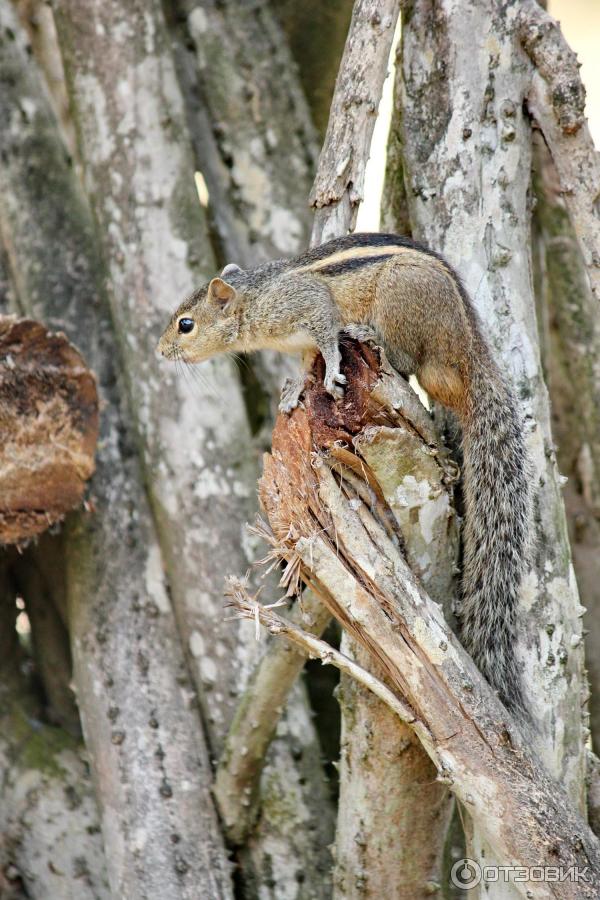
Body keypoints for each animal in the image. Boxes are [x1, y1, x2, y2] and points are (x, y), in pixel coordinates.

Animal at [158, 232, 528, 712]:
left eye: (186, 324)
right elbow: (305, 363)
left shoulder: (309, 306)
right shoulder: (299, 343)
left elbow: (328, 338)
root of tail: (469, 349)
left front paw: (332, 370)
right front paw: (295, 390)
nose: (159, 350)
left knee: (404, 359)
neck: (255, 299)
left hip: (402, 302)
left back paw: (370, 335)